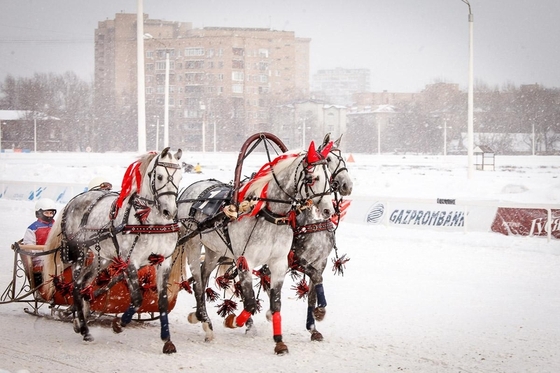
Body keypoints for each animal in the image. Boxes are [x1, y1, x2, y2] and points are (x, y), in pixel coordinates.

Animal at [44, 147, 184, 354]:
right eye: (159, 176)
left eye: (181, 177)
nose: (170, 211)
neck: (151, 222)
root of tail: (74, 201)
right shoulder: (130, 261)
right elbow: (137, 298)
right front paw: (119, 324)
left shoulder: (163, 261)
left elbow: (162, 301)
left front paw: (167, 340)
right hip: (79, 252)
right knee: (76, 286)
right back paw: (83, 327)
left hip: (103, 257)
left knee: (84, 284)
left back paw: (81, 320)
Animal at [176, 138, 332, 354]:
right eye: (312, 178)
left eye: (329, 177)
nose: (328, 209)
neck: (270, 215)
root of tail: (193, 186)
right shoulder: (245, 261)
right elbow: (249, 302)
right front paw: (236, 321)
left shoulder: (279, 263)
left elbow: (276, 303)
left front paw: (279, 341)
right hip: (193, 243)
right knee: (198, 282)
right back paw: (206, 323)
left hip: (214, 251)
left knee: (204, 274)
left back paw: (200, 316)